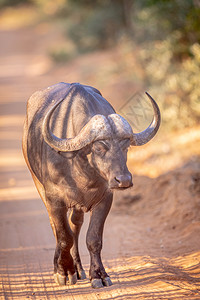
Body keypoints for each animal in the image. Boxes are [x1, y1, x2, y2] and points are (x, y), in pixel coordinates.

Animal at [22, 82, 159, 288]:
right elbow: (64, 237)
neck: (80, 166)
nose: (124, 180)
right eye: (99, 147)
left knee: (75, 225)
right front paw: (64, 272)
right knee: (57, 228)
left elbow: (93, 239)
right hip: (38, 184)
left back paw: (79, 269)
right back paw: (61, 267)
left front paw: (98, 275)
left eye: (126, 146)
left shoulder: (105, 199)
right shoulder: (54, 199)